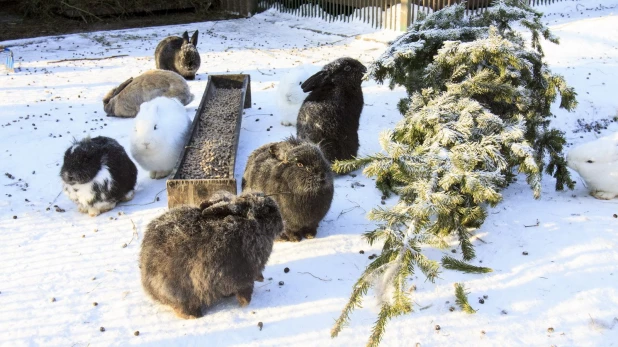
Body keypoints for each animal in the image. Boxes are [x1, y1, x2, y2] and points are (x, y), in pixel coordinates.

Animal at [139, 192, 282, 320]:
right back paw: (194, 316)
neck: (251, 225)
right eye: (267, 210)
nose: (281, 222)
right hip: (180, 292)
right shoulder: (243, 277)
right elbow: (245, 293)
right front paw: (245, 304)